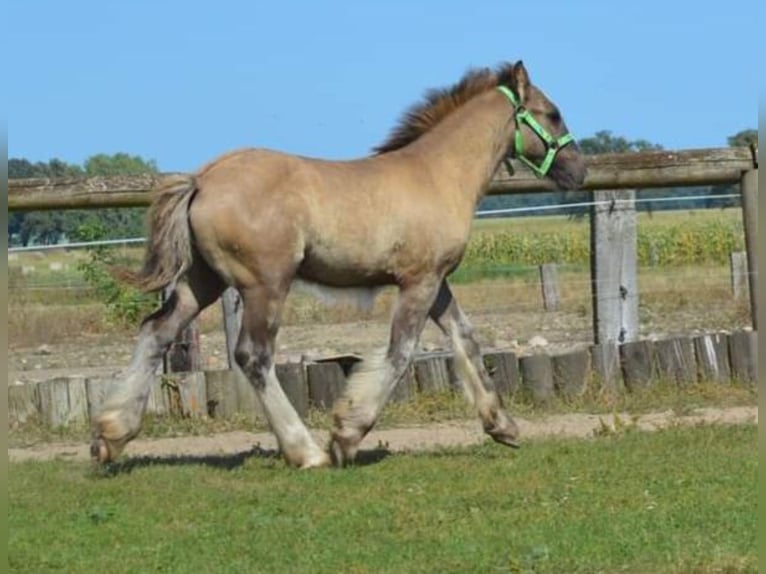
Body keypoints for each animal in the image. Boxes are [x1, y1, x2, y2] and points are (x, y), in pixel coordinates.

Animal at [93, 60, 592, 470]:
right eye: (552, 113)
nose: (579, 171)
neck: (437, 174)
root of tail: (202, 180)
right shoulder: (418, 282)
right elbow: (399, 354)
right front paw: (346, 436)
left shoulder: (438, 282)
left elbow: (465, 339)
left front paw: (503, 426)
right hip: (264, 285)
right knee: (253, 356)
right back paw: (306, 451)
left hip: (203, 281)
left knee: (156, 331)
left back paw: (111, 436)